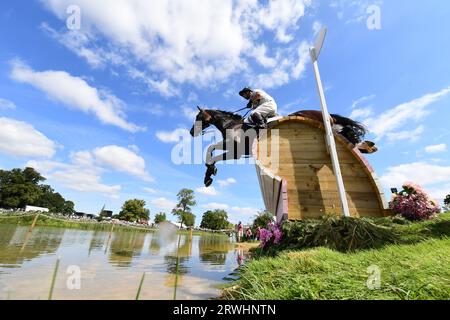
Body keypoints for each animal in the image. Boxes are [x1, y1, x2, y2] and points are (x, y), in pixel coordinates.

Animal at [189, 107, 376, 188]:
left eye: (198, 117)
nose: (191, 132)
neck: (232, 125)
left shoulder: (237, 152)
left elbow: (213, 154)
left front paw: (209, 173)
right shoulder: (231, 147)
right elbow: (210, 149)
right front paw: (209, 172)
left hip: (327, 128)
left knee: (347, 134)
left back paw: (367, 146)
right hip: (332, 129)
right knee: (348, 135)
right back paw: (369, 147)